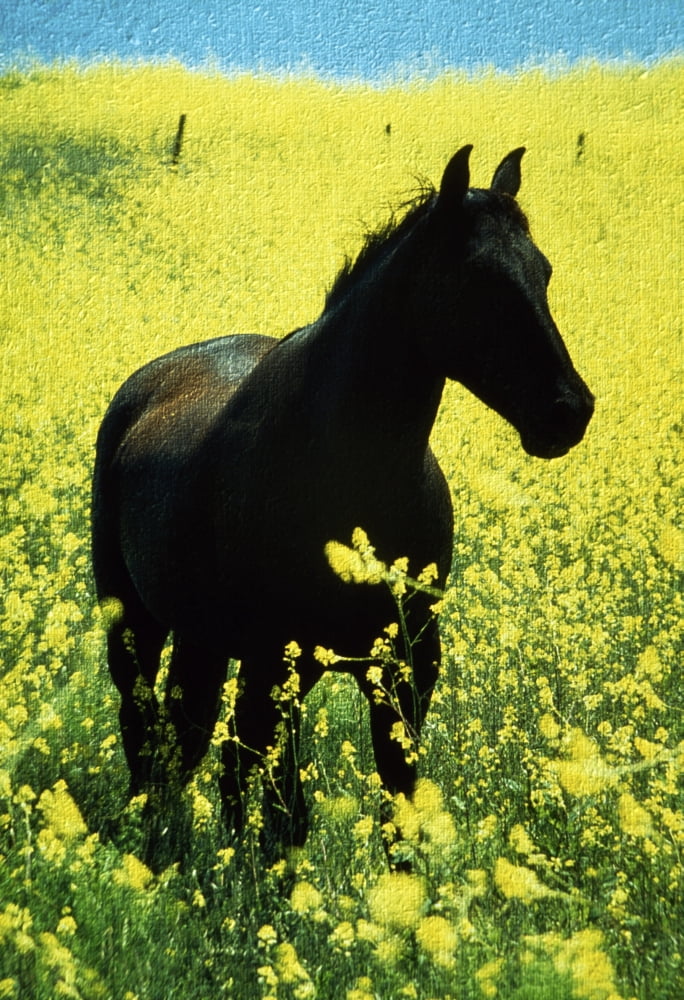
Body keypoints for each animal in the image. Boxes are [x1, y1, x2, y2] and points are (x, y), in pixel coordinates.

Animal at [91, 145, 594, 863]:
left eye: (544, 271)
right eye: (477, 278)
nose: (567, 411)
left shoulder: (407, 666)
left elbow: (398, 803)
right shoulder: (278, 663)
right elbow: (284, 810)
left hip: (206, 637)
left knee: (193, 739)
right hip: (138, 622)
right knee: (150, 730)